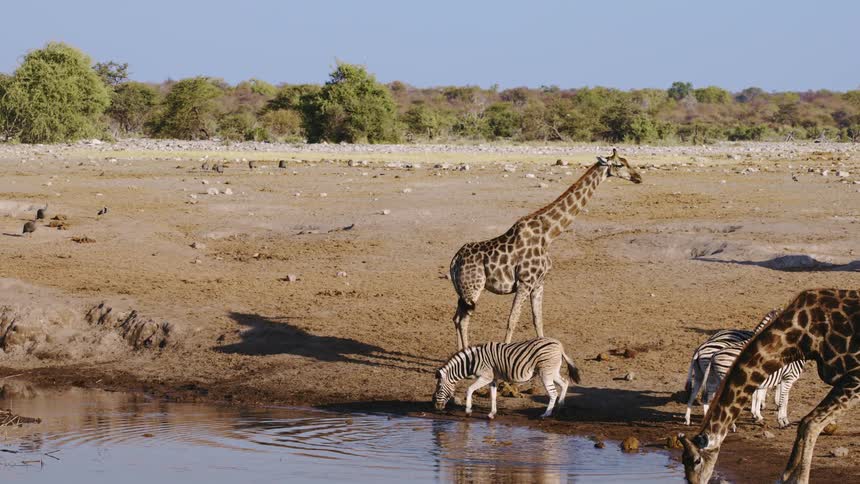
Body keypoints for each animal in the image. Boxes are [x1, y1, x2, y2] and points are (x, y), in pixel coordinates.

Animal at [433, 337, 581, 419]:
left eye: (439, 388)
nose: (436, 407)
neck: (473, 361)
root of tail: (558, 345)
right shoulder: (493, 379)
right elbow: (493, 396)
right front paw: (492, 414)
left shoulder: (486, 376)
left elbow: (469, 389)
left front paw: (468, 411)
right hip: (552, 371)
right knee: (565, 383)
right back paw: (560, 406)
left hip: (546, 372)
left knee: (553, 393)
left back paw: (546, 414)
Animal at [449, 149, 642, 349]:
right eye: (620, 164)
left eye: (627, 162)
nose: (638, 177)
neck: (548, 235)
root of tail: (454, 261)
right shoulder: (525, 282)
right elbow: (512, 321)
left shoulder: (539, 283)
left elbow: (537, 320)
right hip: (474, 287)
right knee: (464, 320)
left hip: (463, 291)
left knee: (456, 318)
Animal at [680, 289, 860, 484]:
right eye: (683, 461)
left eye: (697, 460)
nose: (693, 482)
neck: (801, 336)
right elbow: (804, 422)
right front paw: (785, 477)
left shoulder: (855, 377)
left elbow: (810, 423)